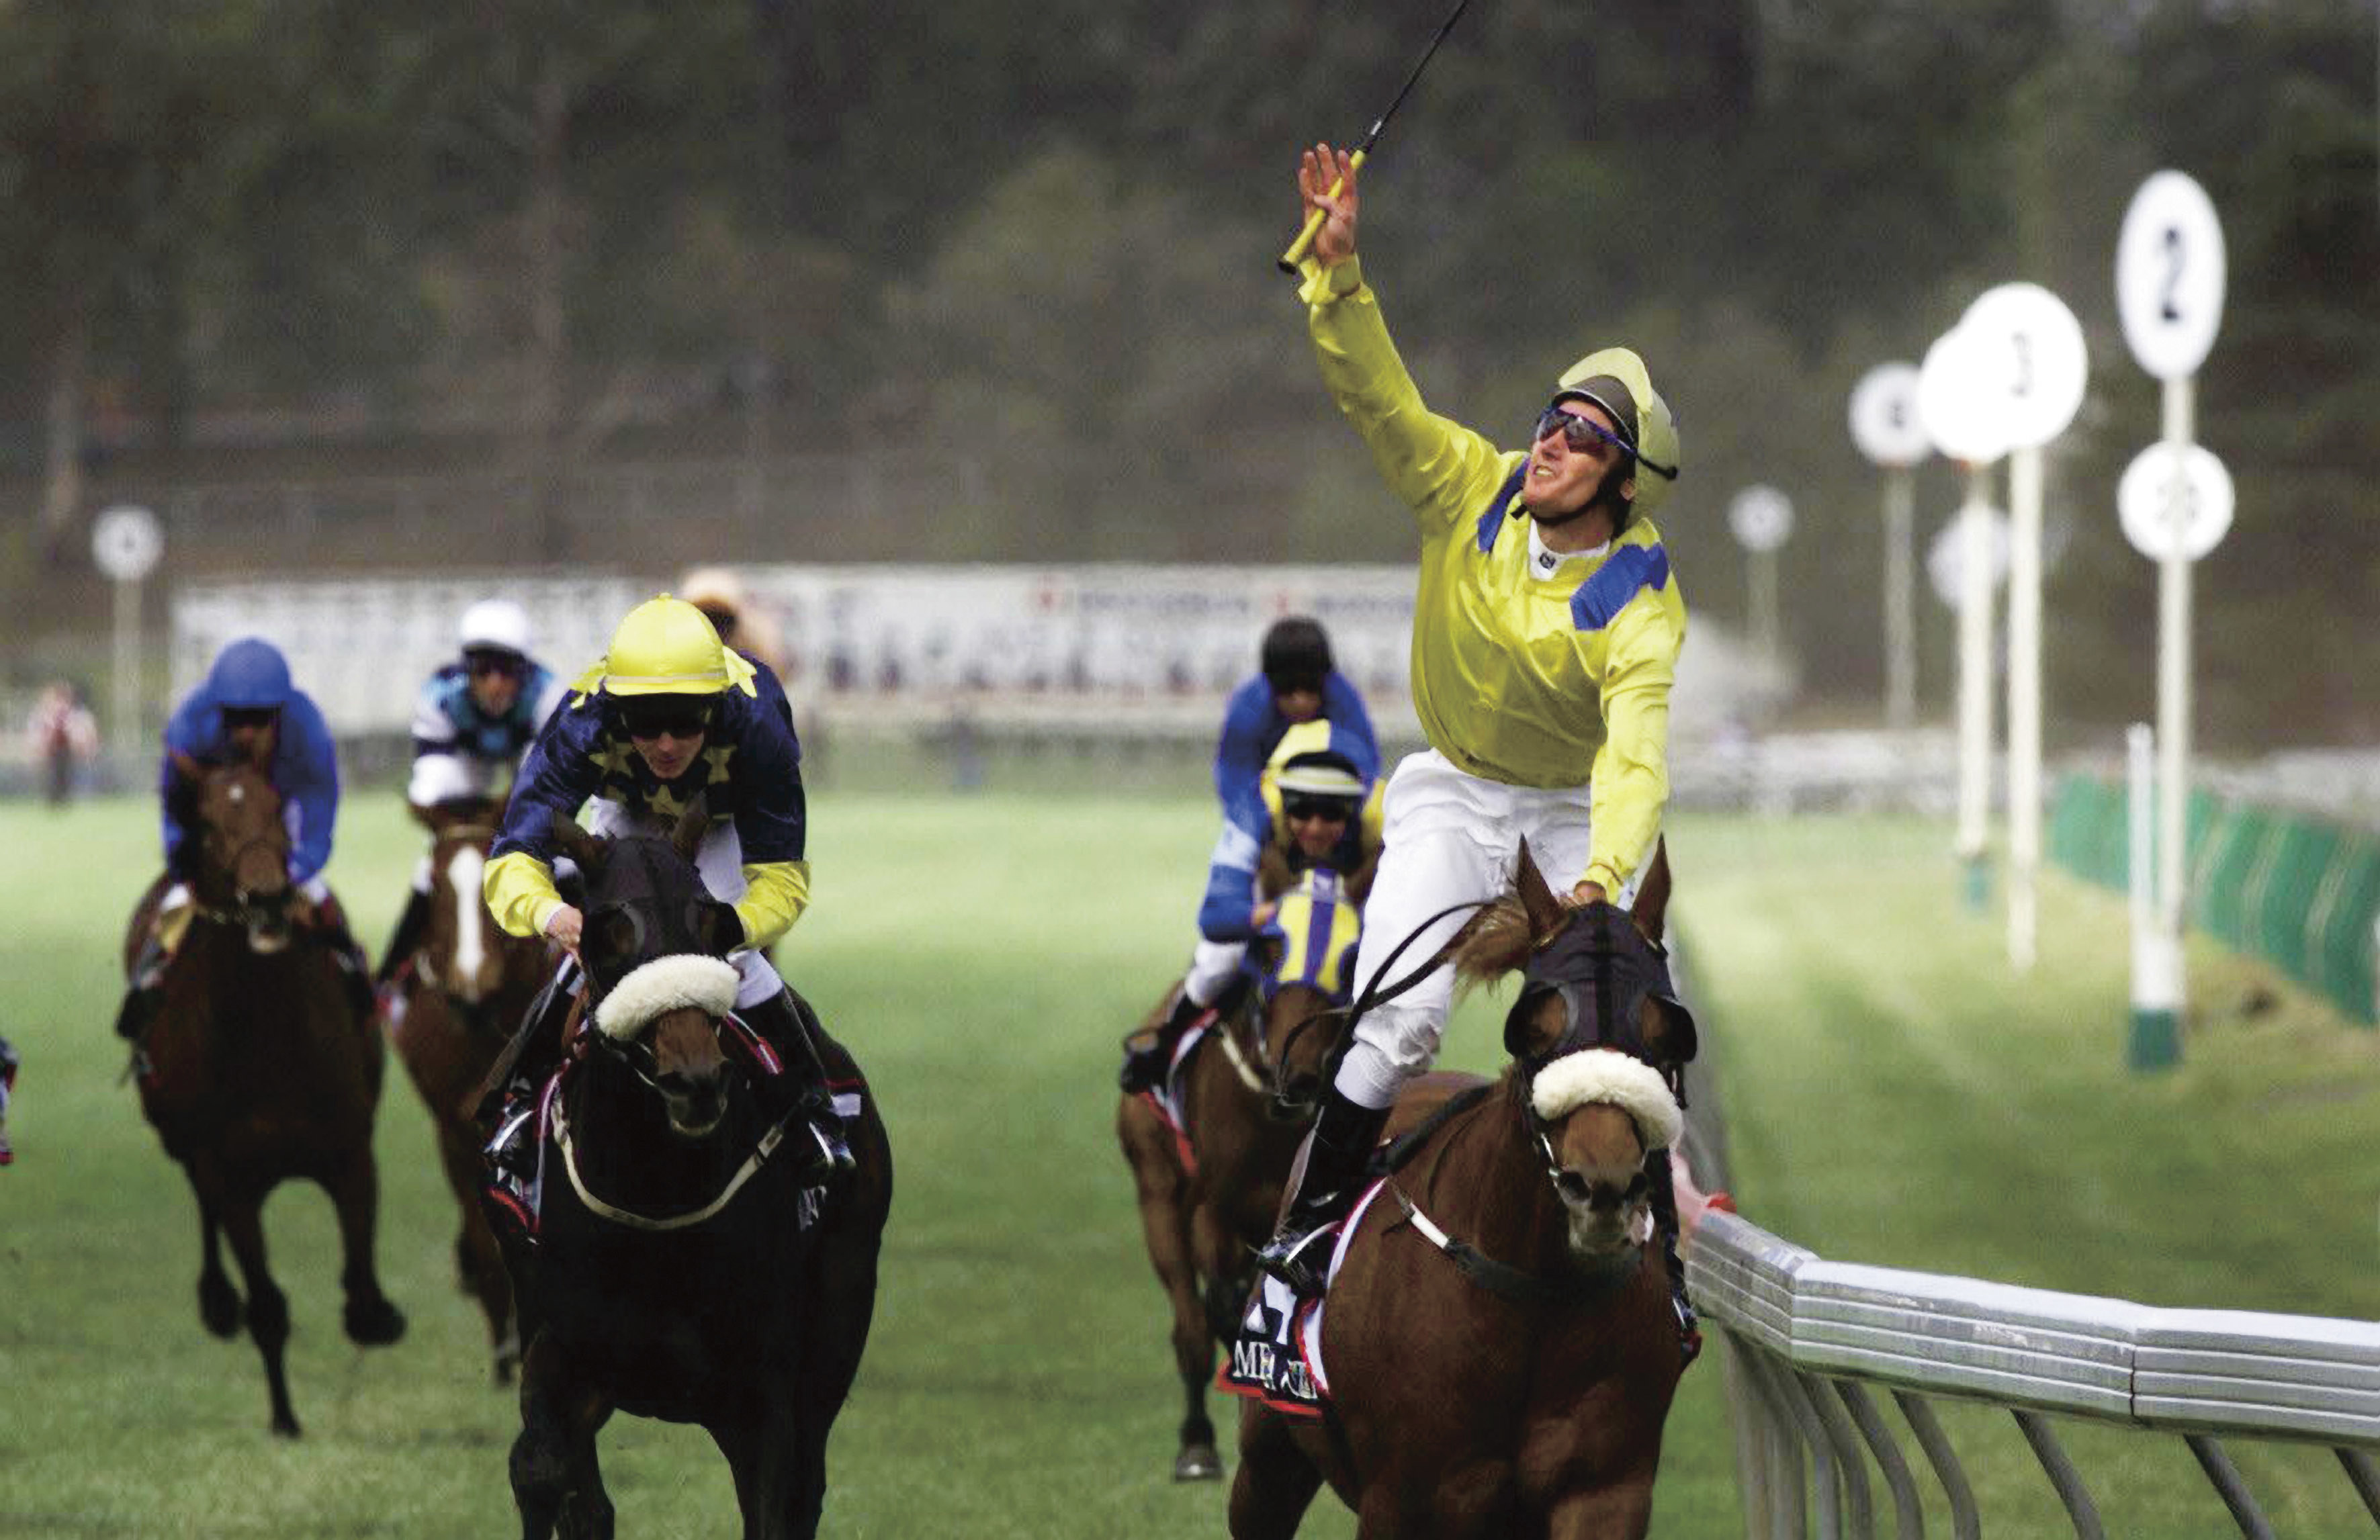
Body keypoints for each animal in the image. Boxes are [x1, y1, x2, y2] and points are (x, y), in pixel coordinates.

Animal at [123, 752, 406, 1437]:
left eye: (278, 806)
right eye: (207, 821)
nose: (268, 895)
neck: (268, 1038)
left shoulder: (349, 1151)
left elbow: (361, 1286)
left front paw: (377, 1317)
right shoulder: (229, 1174)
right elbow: (267, 1302)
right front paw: (284, 1417)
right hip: (181, 1141)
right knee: (202, 1208)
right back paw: (217, 1301)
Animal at [492, 799, 895, 1533]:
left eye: (709, 922)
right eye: (609, 931)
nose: (696, 1081)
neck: (654, 1195)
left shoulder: (760, 1392)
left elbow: (775, 1503)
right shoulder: (562, 1345)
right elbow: (541, 1471)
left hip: (843, 1305)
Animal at [1123, 866, 1370, 1485]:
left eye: (1351, 958)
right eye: (1269, 947)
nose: (1299, 1074)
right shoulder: (1213, 1208)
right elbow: (1220, 1302)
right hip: (1156, 1195)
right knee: (1190, 1322)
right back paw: (1197, 1441)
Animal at [1228, 842, 1694, 1540]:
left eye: (1665, 1033)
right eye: (1535, 1027)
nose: (1601, 1184)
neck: (1535, 1295)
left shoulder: (1605, 1491)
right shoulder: (1401, 1499)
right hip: (1268, 1452)